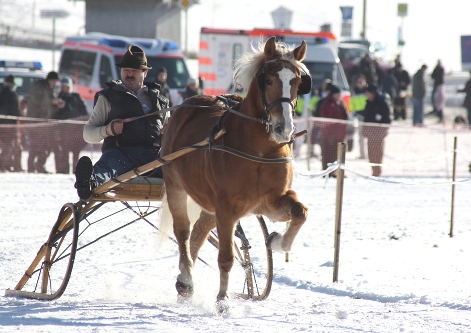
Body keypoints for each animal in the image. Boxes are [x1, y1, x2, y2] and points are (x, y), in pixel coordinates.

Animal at [160, 35, 312, 306]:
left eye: (296, 81)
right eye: (268, 80)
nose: (283, 128)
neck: (259, 151)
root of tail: (188, 104)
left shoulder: (269, 202)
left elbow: (300, 212)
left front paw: (276, 240)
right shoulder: (227, 208)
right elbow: (226, 257)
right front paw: (223, 300)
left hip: (211, 205)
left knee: (199, 231)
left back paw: (185, 284)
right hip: (175, 184)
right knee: (184, 232)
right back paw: (186, 276)